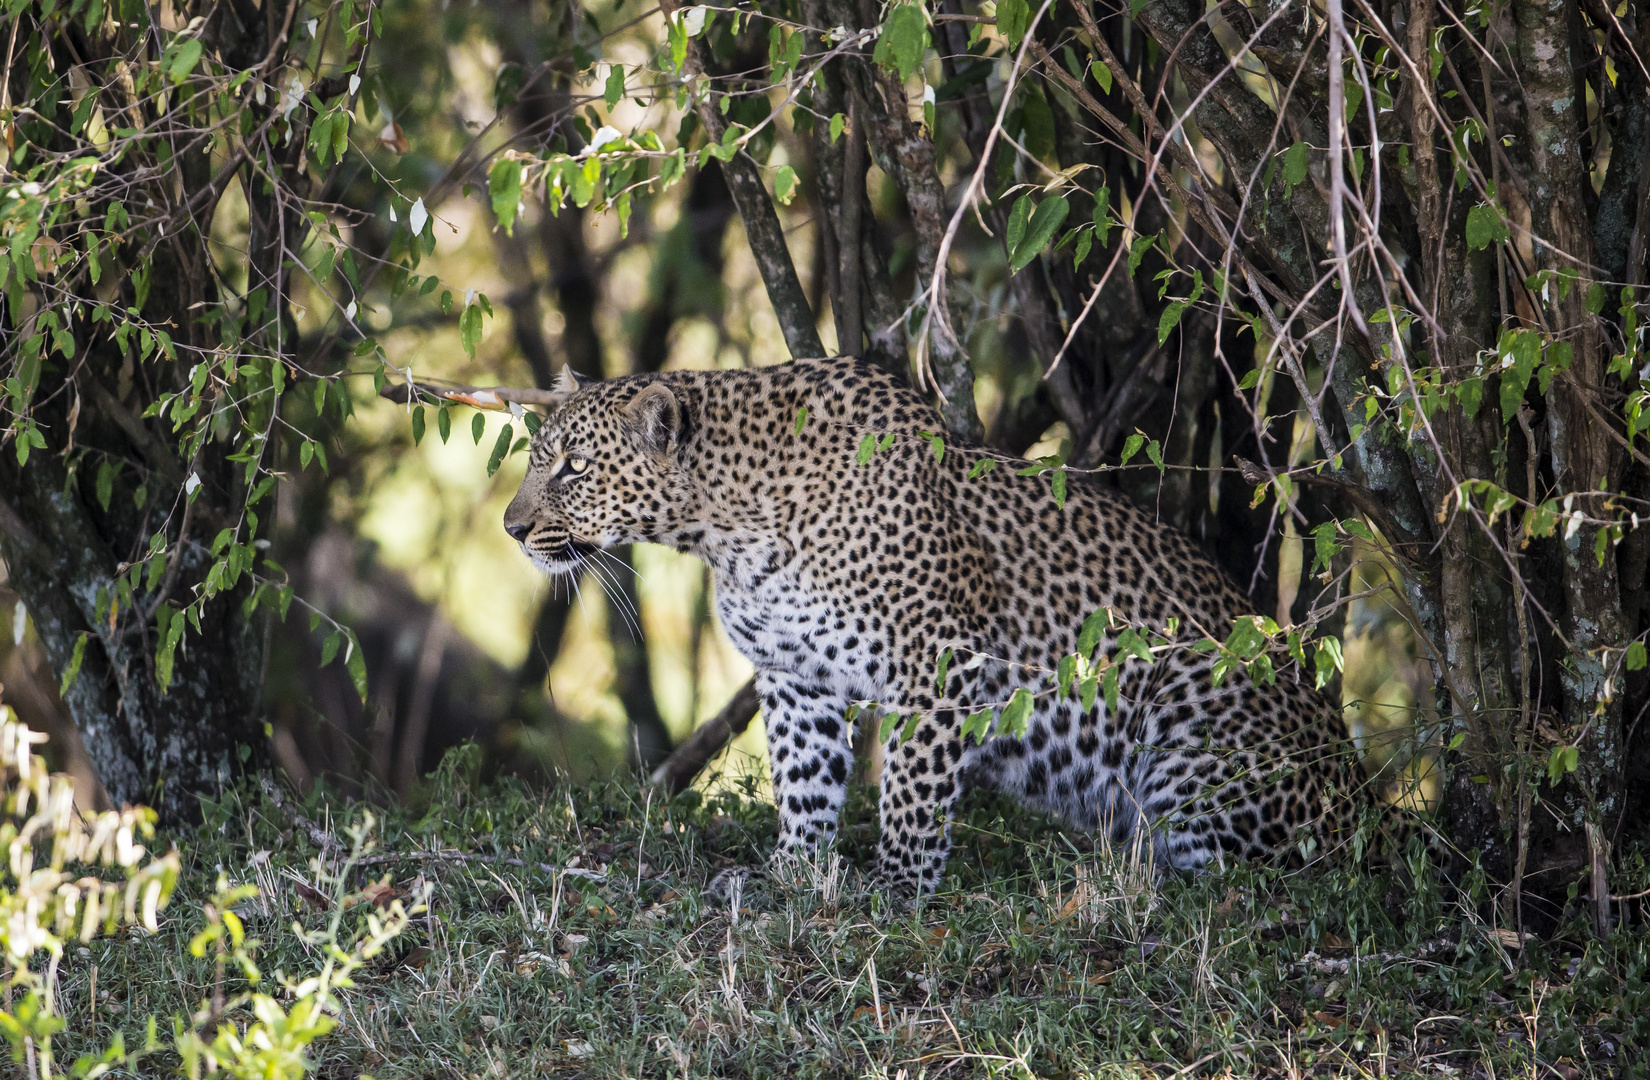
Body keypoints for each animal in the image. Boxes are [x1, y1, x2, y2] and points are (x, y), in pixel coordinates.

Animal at [504, 354, 1379, 896]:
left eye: (572, 469)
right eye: (538, 460)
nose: (512, 529)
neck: (726, 528)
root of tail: (1368, 803)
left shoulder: (935, 660)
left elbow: (913, 784)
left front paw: (899, 885)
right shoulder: (793, 676)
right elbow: (805, 780)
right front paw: (793, 871)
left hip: (1193, 723)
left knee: (1264, 875)